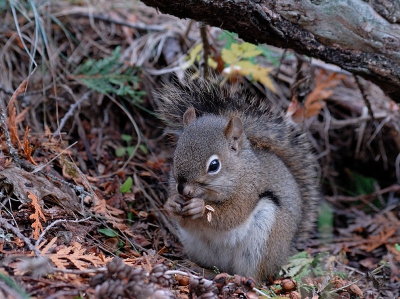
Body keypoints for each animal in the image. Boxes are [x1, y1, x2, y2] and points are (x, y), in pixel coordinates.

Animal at [155, 75, 320, 282]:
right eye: (176, 154)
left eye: (214, 165)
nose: (183, 189)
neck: (238, 171)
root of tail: (282, 256)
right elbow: (184, 221)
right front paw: (172, 203)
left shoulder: (249, 190)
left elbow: (231, 215)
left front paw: (199, 207)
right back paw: (201, 268)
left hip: (262, 242)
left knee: (252, 276)